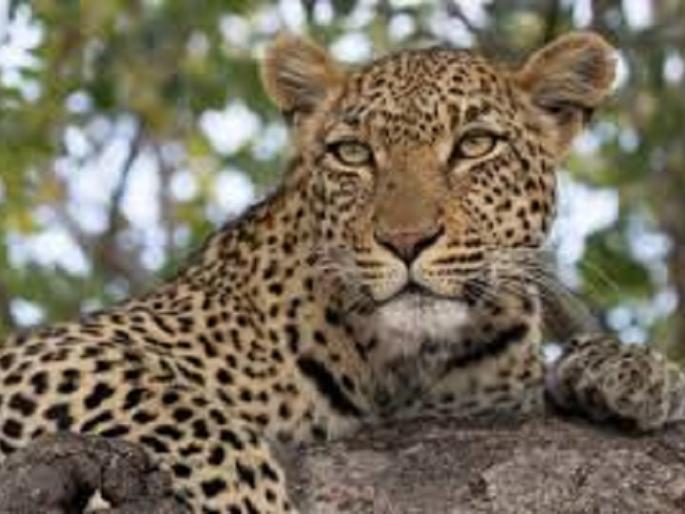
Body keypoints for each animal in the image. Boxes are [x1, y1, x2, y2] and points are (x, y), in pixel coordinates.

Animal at [1, 31, 684, 514]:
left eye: (474, 145)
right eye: (353, 154)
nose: (405, 241)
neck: (401, 362)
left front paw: (631, 372)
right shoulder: (44, 355)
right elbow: (170, 398)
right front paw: (251, 502)